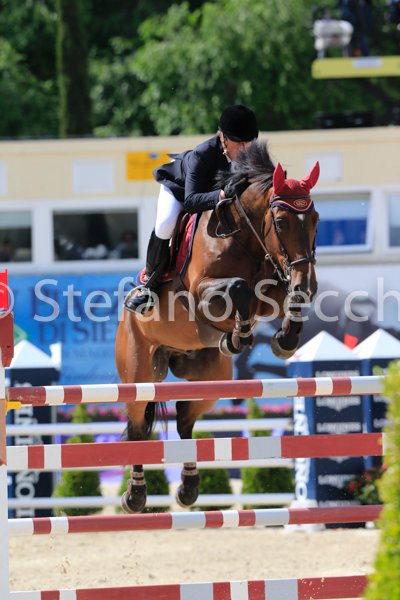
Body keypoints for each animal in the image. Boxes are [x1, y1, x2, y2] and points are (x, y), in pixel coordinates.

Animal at [115, 141, 320, 513]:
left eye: (316, 219)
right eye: (281, 222)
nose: (307, 283)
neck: (246, 236)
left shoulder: (274, 284)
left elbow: (282, 299)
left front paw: (283, 340)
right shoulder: (203, 293)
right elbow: (239, 288)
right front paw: (240, 336)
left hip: (211, 379)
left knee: (184, 417)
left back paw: (188, 489)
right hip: (138, 376)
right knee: (138, 428)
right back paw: (135, 496)